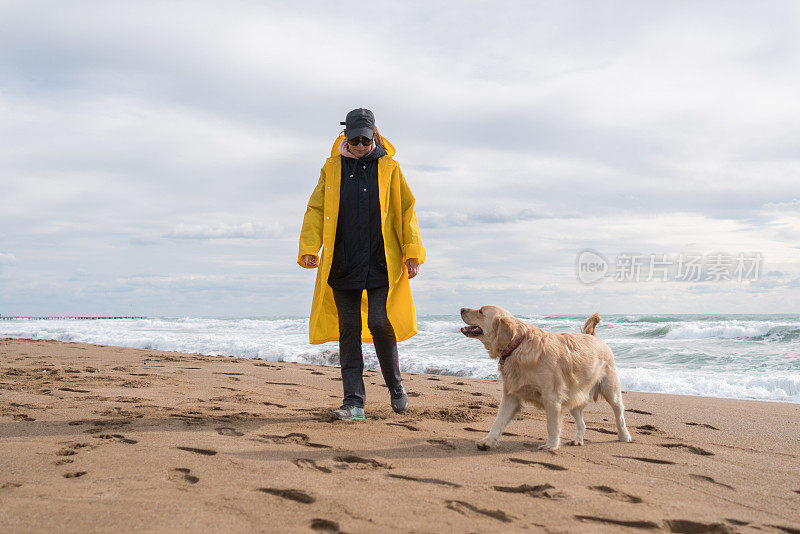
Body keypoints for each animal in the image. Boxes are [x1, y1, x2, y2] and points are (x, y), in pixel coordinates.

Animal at [460, 306, 636, 452]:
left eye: (481, 311)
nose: (461, 309)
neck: (518, 345)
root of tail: (592, 336)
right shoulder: (511, 395)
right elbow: (498, 421)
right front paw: (488, 441)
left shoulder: (551, 396)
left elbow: (552, 425)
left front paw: (551, 445)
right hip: (574, 395)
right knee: (582, 423)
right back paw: (577, 440)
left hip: (611, 390)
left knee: (619, 414)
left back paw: (624, 436)